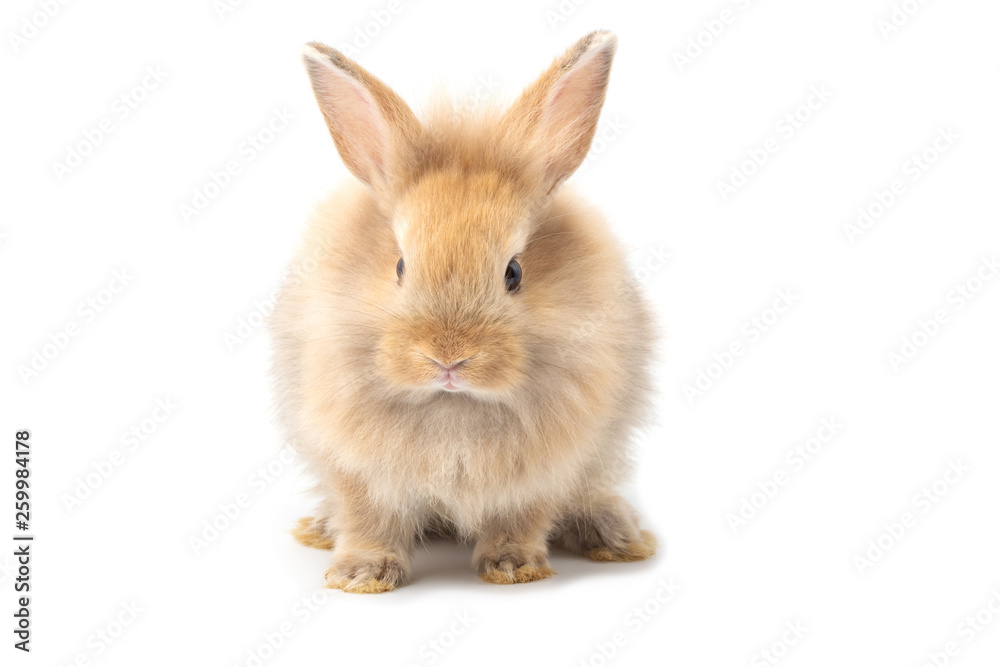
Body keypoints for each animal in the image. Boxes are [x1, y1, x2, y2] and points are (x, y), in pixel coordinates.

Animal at [274, 30, 660, 596]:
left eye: (514, 272)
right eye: (400, 265)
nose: (448, 358)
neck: (453, 405)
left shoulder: (543, 473)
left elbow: (522, 518)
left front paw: (514, 568)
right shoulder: (355, 467)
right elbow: (368, 519)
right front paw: (361, 575)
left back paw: (616, 535)